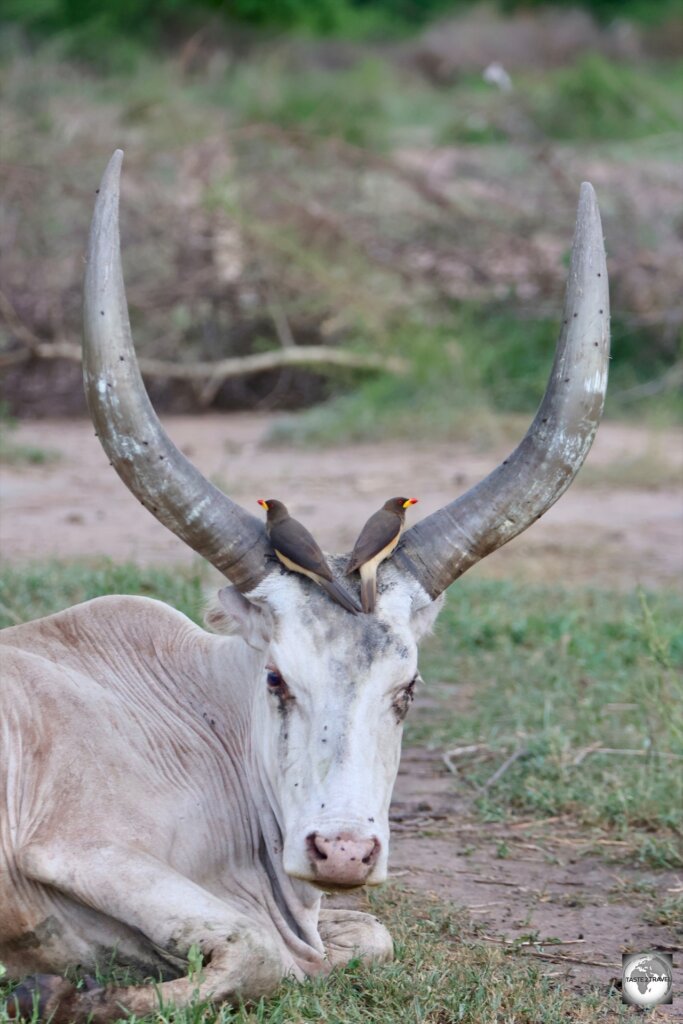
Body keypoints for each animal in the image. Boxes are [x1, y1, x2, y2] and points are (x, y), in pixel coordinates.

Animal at [0, 153, 610, 1024]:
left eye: (408, 689)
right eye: (276, 679)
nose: (343, 852)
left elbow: (361, 939)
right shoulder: (76, 846)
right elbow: (260, 952)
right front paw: (59, 993)